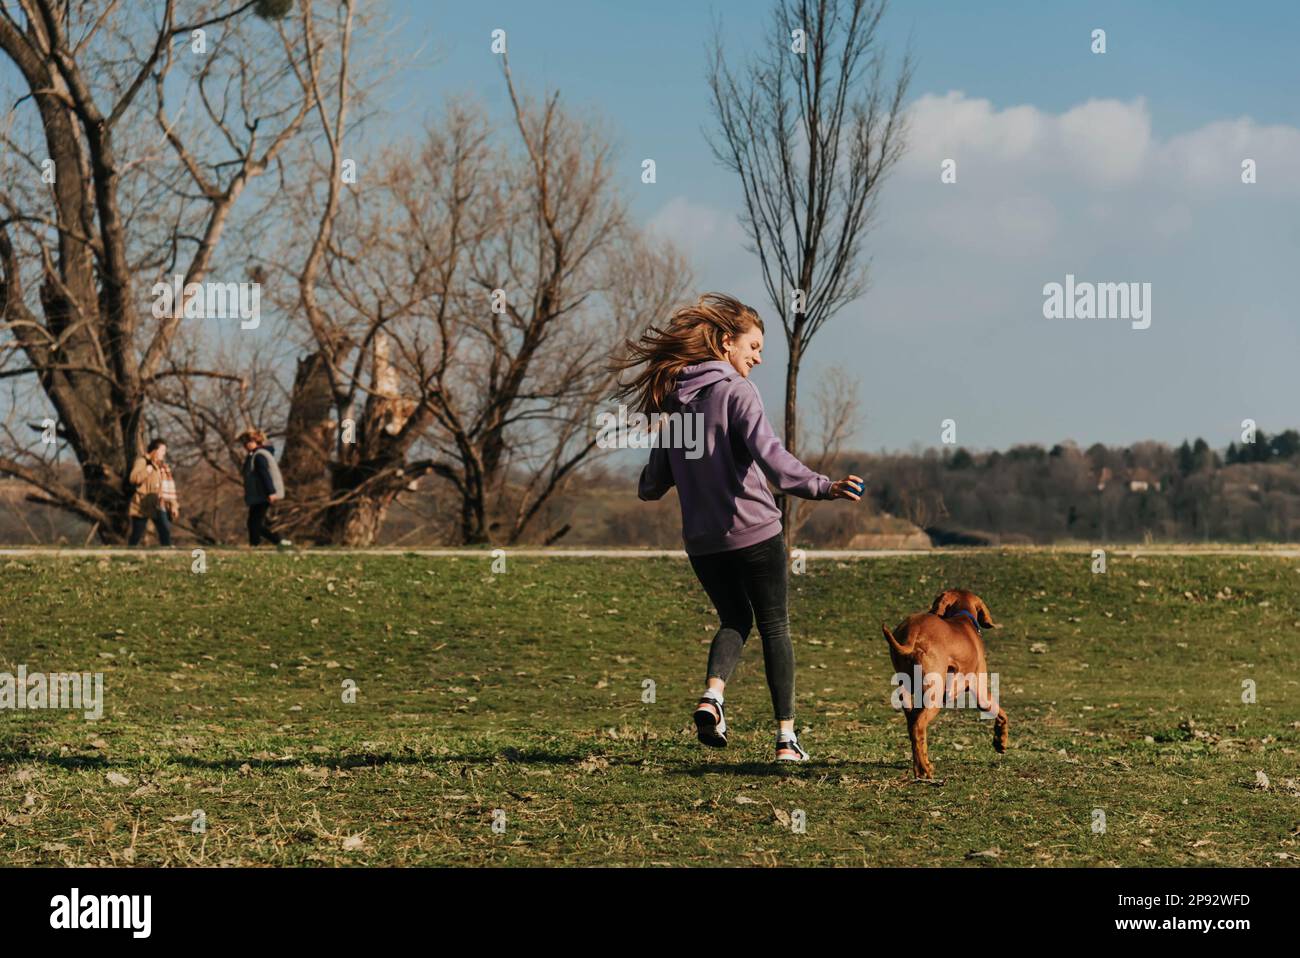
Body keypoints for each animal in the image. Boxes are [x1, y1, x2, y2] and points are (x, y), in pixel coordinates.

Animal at [878, 587, 1008, 779]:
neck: (963, 618)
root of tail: (913, 632)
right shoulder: (981, 693)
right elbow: (1002, 714)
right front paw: (1000, 742)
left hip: (908, 695)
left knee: (913, 728)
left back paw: (921, 769)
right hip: (934, 696)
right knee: (918, 727)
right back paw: (925, 769)